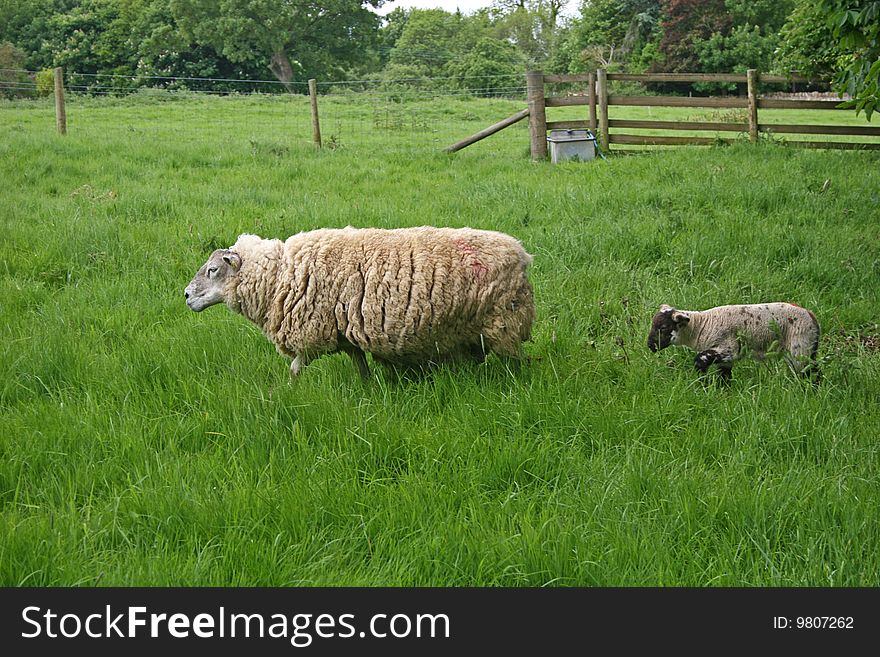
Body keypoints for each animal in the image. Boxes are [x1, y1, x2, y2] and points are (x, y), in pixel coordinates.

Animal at [182, 226, 532, 380]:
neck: (281, 274)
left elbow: (295, 368)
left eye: (212, 270)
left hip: (502, 321)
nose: (185, 296)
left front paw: (281, 394)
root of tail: (522, 254)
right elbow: (359, 362)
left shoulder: (312, 331)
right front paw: (367, 387)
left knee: (516, 363)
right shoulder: (343, 328)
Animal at [648, 302, 820, 380]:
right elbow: (724, 377)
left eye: (663, 327)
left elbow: (699, 359)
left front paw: (702, 384)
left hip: (800, 346)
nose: (650, 346)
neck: (701, 326)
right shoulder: (725, 359)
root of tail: (812, 316)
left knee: (811, 372)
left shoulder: (728, 349)